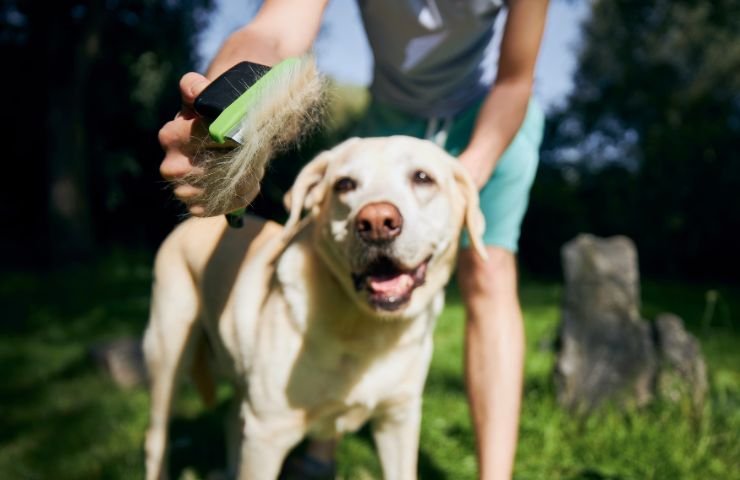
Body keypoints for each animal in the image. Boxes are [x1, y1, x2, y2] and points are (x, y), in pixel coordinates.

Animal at [143, 136, 486, 480]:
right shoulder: (266, 433)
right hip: (169, 353)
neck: (366, 328)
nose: (376, 222)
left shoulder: (398, 420)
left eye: (422, 178)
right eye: (344, 184)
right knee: (157, 438)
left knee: (230, 421)